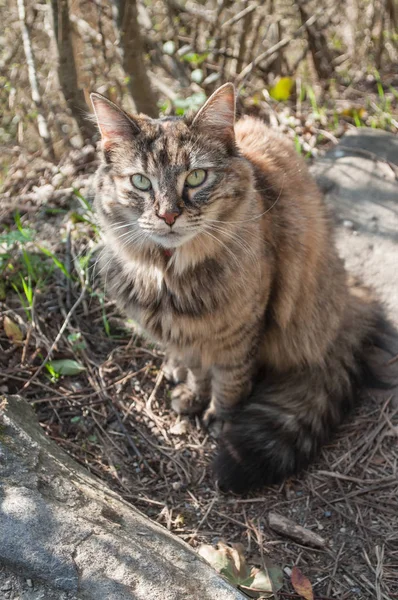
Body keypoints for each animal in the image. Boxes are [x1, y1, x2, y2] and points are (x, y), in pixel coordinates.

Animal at [91, 85, 392, 496]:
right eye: (141, 182)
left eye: (196, 177)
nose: (169, 215)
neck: (170, 276)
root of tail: (348, 299)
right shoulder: (189, 333)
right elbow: (196, 368)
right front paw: (192, 394)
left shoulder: (238, 329)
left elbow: (229, 380)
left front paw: (220, 417)